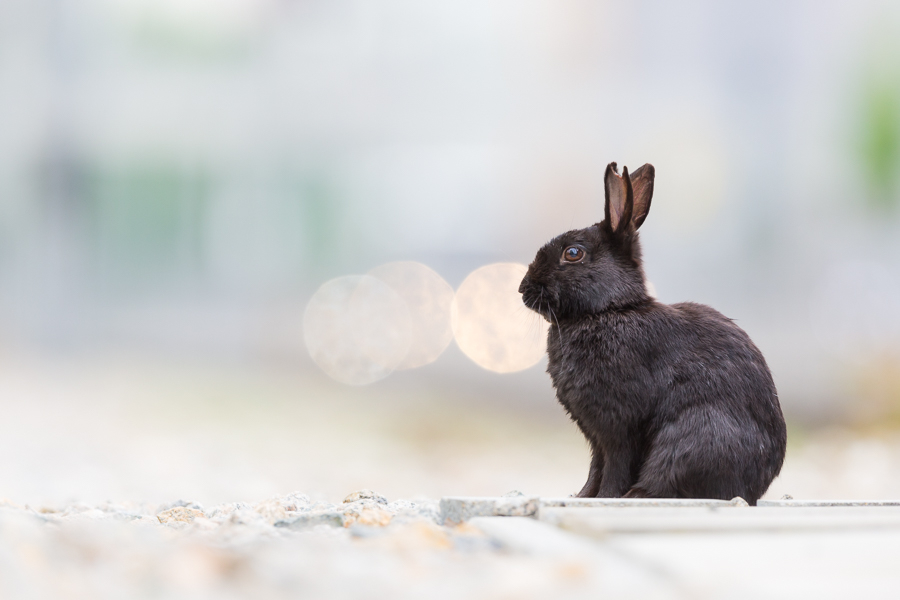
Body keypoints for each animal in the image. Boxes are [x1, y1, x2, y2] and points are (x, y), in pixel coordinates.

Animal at [518, 162, 786, 505]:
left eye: (573, 253)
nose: (522, 289)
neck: (608, 311)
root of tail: (753, 489)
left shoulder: (619, 425)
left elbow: (615, 463)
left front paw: (608, 497)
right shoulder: (596, 435)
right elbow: (596, 465)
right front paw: (584, 496)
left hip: (690, 438)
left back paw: (637, 494)